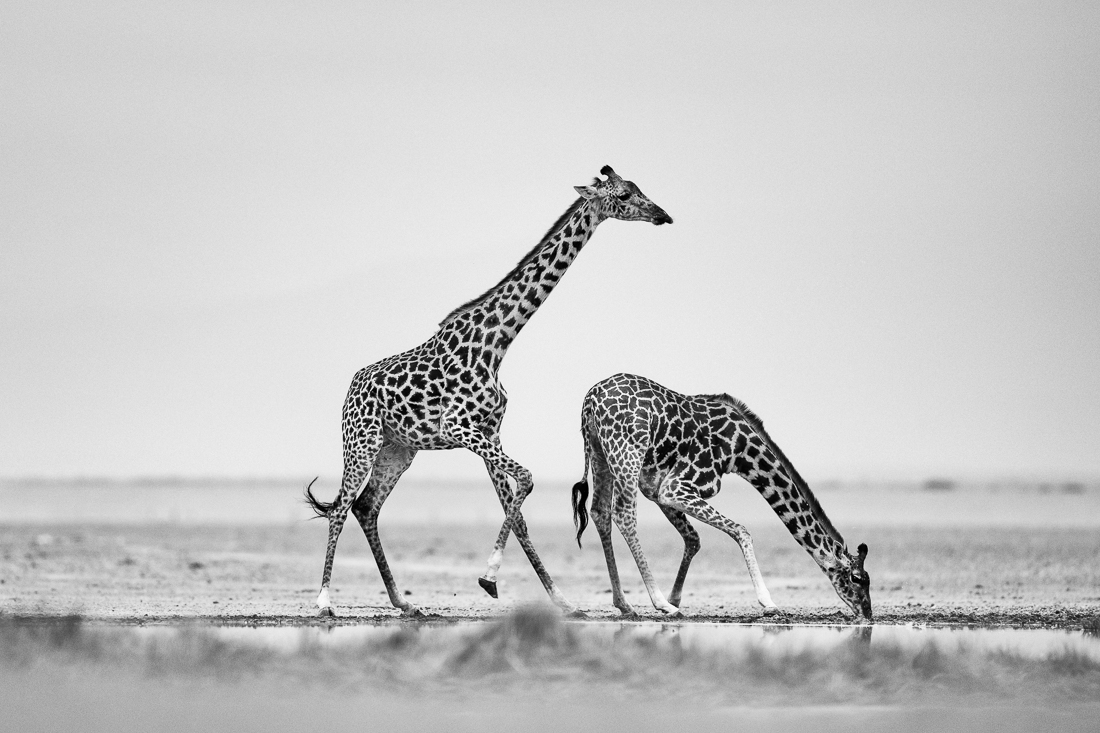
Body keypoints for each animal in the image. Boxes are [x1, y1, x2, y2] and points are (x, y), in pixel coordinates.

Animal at [305, 167, 673, 617]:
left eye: (639, 189)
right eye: (623, 195)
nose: (663, 215)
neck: (496, 344)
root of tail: (351, 387)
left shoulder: (489, 431)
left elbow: (519, 512)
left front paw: (558, 599)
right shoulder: (459, 428)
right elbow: (527, 480)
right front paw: (490, 576)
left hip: (399, 450)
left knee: (366, 505)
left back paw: (403, 602)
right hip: (361, 441)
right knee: (341, 506)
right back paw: (324, 601)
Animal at [571, 373, 872, 620]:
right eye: (857, 578)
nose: (867, 613)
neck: (742, 452)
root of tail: (590, 399)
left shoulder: (658, 489)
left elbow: (694, 538)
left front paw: (675, 598)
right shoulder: (678, 486)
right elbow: (741, 530)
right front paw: (769, 603)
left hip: (600, 453)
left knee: (600, 511)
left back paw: (625, 604)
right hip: (627, 453)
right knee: (624, 513)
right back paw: (659, 604)